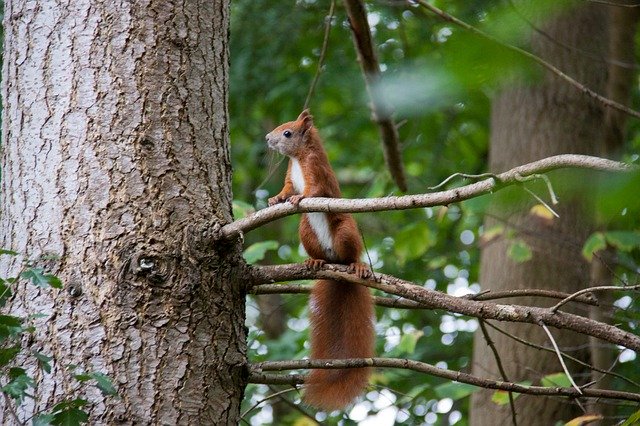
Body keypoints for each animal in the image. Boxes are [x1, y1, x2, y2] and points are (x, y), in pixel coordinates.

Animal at [264, 109, 376, 410]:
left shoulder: (317, 172)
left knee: (351, 252)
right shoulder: (290, 178)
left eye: (287, 133)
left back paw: (356, 264)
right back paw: (315, 263)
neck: (297, 158)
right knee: (317, 252)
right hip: (306, 232)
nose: (267, 138)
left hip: (346, 231)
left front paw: (299, 198)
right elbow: (286, 189)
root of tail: (335, 262)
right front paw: (275, 199)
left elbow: (313, 191)